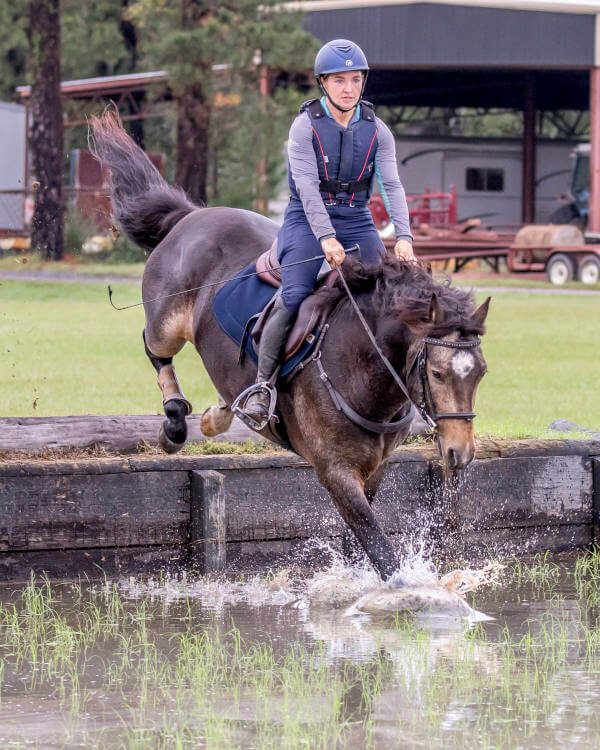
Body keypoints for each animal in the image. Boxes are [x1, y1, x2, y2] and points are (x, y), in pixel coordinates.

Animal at [90, 111, 489, 581]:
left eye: (480, 374)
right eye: (437, 373)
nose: (460, 454)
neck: (366, 370)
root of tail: (192, 216)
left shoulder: (374, 469)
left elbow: (359, 545)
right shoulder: (335, 471)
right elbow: (381, 551)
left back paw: (219, 415)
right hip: (166, 321)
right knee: (155, 349)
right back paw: (174, 423)